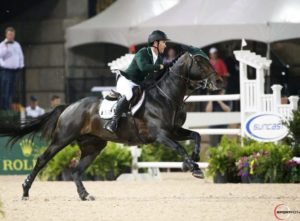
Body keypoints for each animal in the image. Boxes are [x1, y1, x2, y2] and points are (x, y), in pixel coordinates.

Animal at [0, 49, 220, 201]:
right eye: (200, 63)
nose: (217, 82)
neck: (166, 96)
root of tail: (68, 106)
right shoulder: (160, 135)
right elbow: (179, 147)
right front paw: (193, 167)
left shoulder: (174, 131)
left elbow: (196, 136)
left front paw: (193, 162)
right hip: (62, 139)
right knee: (42, 160)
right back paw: (25, 191)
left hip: (93, 146)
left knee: (76, 171)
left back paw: (85, 195)